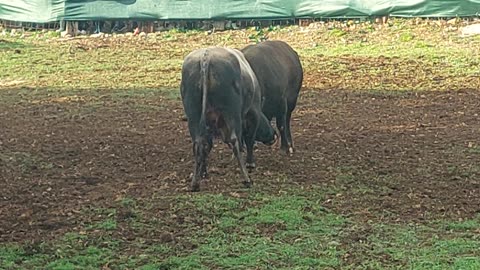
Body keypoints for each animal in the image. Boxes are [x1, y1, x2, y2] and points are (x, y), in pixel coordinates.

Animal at [180, 46, 278, 192]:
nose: (274, 135)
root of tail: (206, 57)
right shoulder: (252, 113)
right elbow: (249, 140)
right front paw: (250, 163)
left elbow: (208, 146)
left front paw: (203, 173)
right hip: (232, 114)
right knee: (234, 140)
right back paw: (246, 179)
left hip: (194, 116)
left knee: (199, 144)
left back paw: (195, 183)